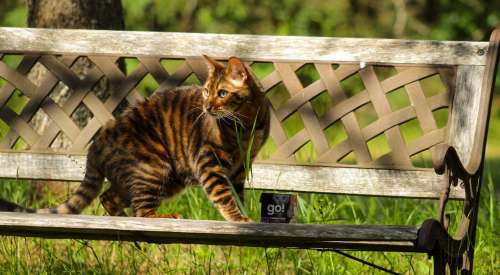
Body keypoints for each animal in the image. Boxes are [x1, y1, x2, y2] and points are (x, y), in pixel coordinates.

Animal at [0, 56, 270, 224]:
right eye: (206, 91)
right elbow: (223, 195)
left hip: (164, 178)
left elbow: (238, 195)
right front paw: (238, 219)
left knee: (109, 197)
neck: (246, 125)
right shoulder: (208, 162)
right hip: (154, 166)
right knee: (141, 210)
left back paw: (120, 217)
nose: (206, 106)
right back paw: (162, 217)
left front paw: (246, 217)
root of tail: (95, 146)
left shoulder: (240, 167)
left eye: (222, 93)